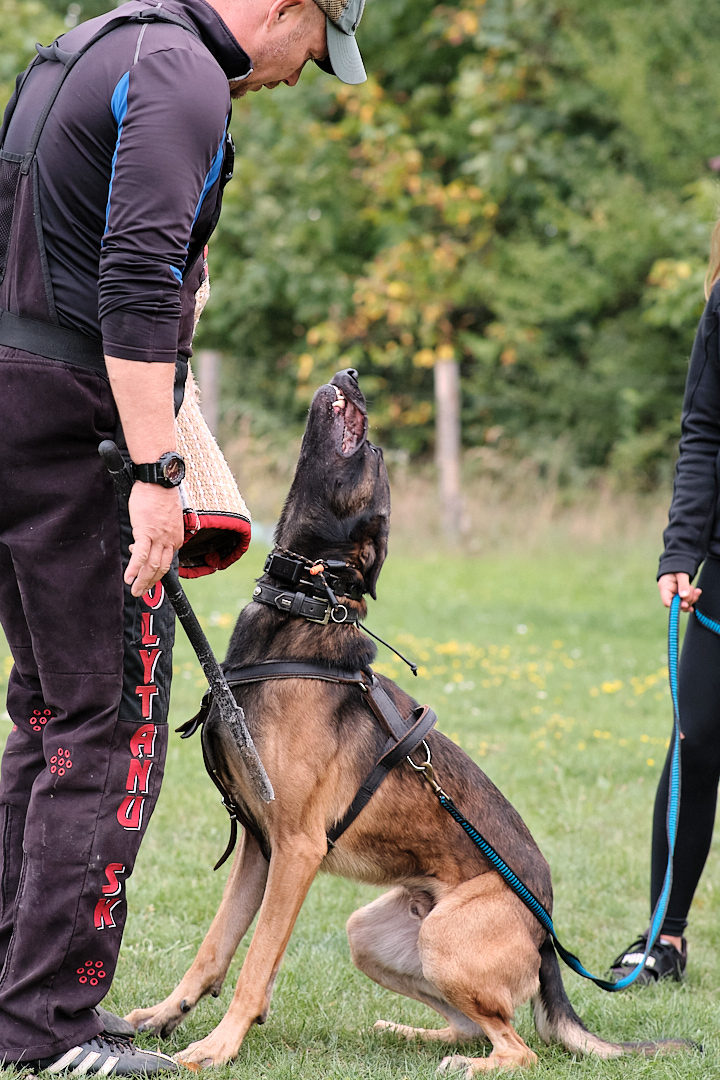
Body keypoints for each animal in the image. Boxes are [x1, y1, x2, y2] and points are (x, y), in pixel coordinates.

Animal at [127, 369, 687, 1072]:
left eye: (373, 457)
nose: (351, 375)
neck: (303, 617)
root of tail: (546, 941)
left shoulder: (295, 851)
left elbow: (254, 964)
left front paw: (219, 1045)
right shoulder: (259, 845)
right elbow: (213, 949)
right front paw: (163, 1017)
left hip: (445, 934)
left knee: (518, 1047)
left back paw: (466, 1063)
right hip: (371, 932)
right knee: (473, 1024)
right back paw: (409, 1033)